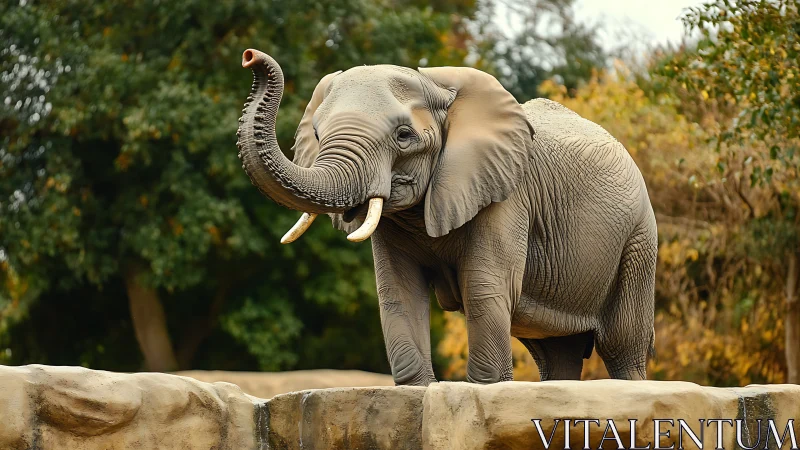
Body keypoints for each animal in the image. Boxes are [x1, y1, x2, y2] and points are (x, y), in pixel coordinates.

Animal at [236, 48, 657, 385]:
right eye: (318, 135)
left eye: (404, 136)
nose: (250, 57)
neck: (434, 84)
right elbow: (398, 291)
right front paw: (419, 392)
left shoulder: (507, 193)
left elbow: (484, 286)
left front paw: (484, 392)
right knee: (555, 352)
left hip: (638, 240)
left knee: (621, 343)